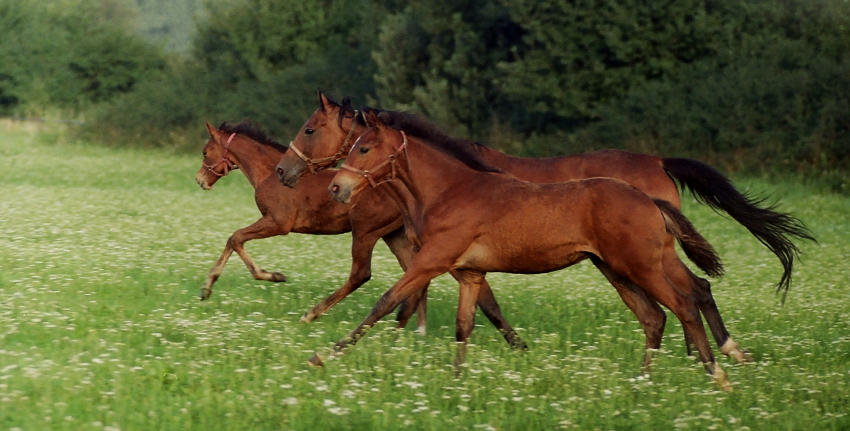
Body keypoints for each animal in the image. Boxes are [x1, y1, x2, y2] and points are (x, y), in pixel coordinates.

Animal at [195, 120, 527, 349]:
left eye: (205, 151)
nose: (199, 180)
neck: (267, 173)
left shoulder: (278, 223)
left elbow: (235, 237)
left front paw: (233, 282)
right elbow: (236, 238)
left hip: (367, 231)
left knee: (362, 274)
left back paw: (313, 315)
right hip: (396, 237)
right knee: (419, 276)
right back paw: (417, 330)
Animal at [322, 109, 735, 388]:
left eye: (365, 148)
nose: (336, 189)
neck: (450, 191)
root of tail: (650, 201)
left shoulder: (431, 261)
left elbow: (386, 301)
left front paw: (325, 354)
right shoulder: (470, 273)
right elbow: (464, 325)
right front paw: (457, 382)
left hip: (641, 267)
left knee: (684, 305)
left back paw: (717, 375)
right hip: (616, 270)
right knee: (655, 317)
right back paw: (643, 382)